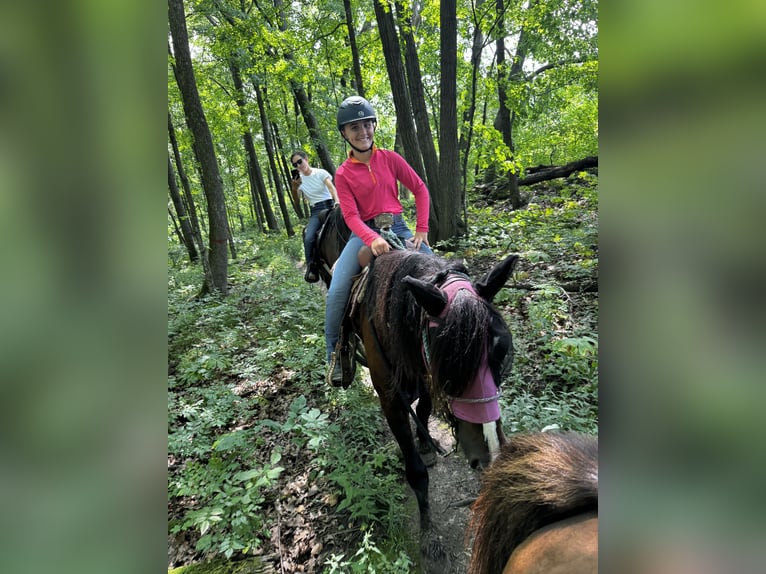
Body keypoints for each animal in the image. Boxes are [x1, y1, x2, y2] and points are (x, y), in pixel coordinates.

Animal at [312, 212, 519, 566]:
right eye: (450, 361)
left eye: (502, 351)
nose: (490, 452)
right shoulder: (391, 400)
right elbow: (417, 472)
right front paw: (429, 537)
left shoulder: (422, 375)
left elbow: (422, 410)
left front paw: (425, 442)